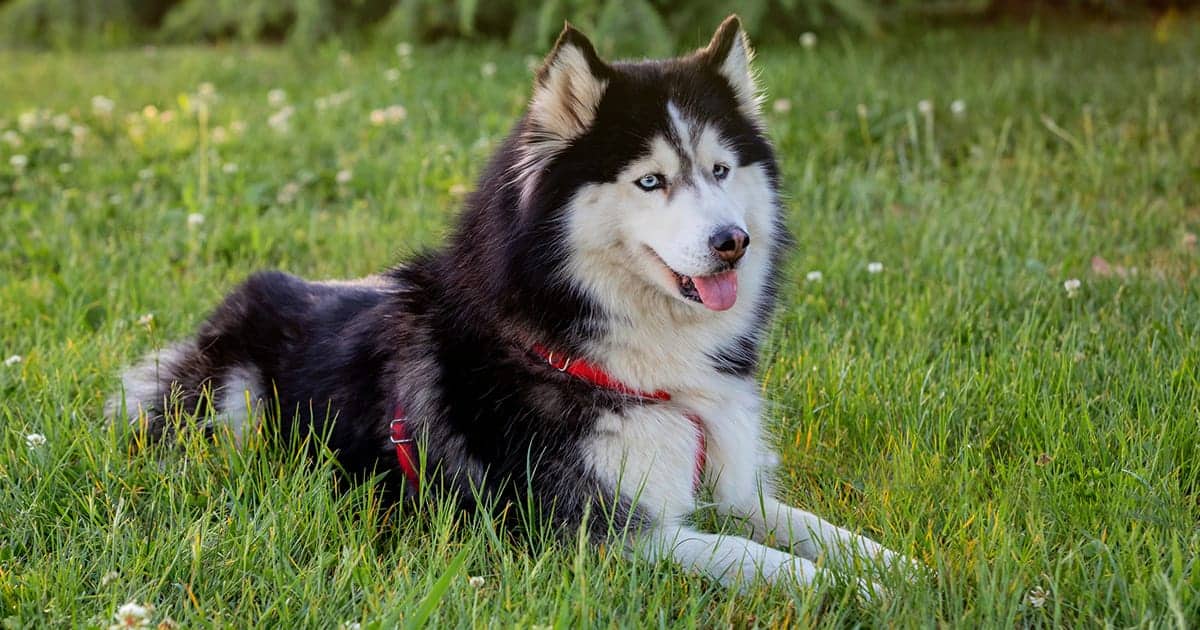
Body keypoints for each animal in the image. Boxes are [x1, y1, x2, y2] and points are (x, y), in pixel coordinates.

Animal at [112, 15, 902, 595]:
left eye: (720, 170)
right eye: (650, 181)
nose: (731, 242)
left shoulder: (734, 486)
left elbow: (816, 530)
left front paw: (900, 568)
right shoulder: (595, 532)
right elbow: (754, 557)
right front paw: (854, 592)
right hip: (234, 407)